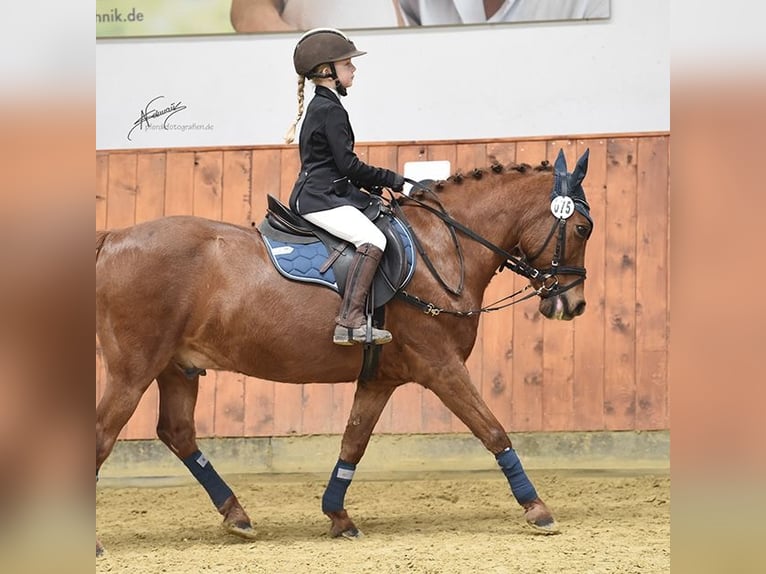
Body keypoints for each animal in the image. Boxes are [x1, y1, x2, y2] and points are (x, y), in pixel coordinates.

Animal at [97, 151, 592, 556]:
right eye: (583, 228)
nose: (572, 305)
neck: (440, 249)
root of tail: (114, 238)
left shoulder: (380, 378)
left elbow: (354, 441)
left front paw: (338, 516)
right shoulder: (442, 366)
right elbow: (493, 430)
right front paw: (537, 508)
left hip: (177, 367)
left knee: (177, 433)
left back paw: (237, 516)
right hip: (133, 371)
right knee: (104, 434)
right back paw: (100, 544)